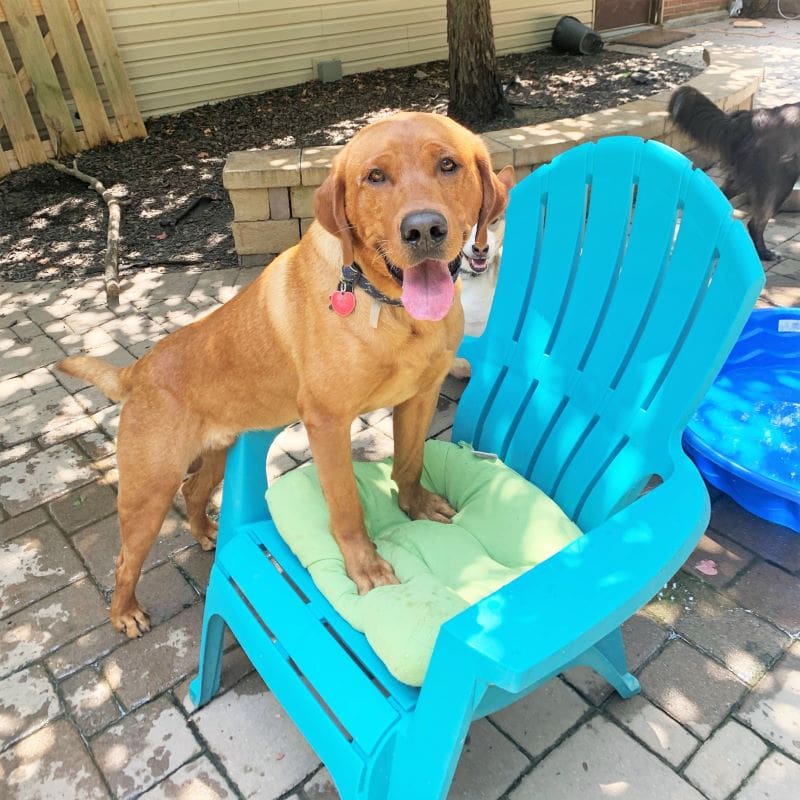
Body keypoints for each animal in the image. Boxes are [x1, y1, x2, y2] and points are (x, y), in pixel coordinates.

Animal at [59, 111, 510, 636]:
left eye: (448, 165)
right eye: (375, 176)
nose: (424, 230)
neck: (392, 309)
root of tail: (139, 368)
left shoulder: (419, 397)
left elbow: (410, 464)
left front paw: (415, 506)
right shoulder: (327, 423)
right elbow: (346, 507)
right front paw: (366, 569)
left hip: (216, 452)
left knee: (193, 491)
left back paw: (206, 531)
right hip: (148, 491)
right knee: (125, 558)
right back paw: (125, 612)